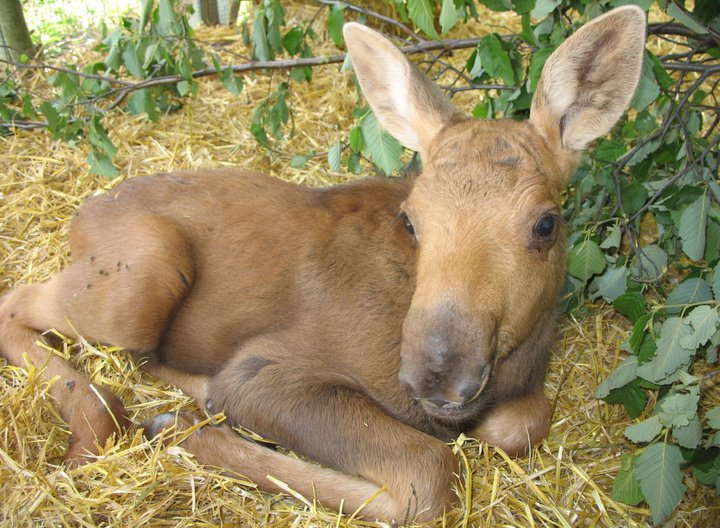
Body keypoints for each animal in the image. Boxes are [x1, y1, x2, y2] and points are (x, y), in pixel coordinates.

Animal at [0, 7, 648, 524]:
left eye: (546, 223)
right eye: (412, 219)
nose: (437, 371)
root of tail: (84, 210)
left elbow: (521, 423)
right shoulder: (264, 373)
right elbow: (426, 473)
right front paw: (185, 429)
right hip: (139, 280)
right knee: (21, 302)